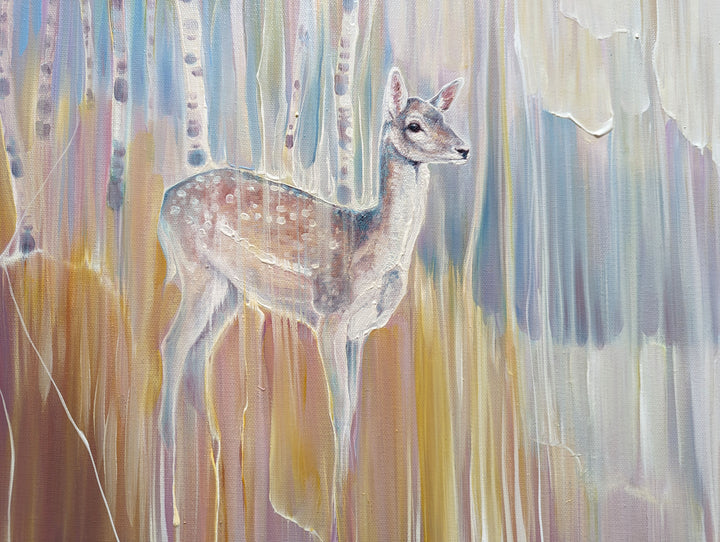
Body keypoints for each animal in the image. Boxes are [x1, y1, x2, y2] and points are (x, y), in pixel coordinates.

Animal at [157, 67, 469, 539]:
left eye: (443, 116)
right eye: (414, 124)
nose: (464, 148)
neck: (370, 247)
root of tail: (162, 206)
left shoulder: (359, 334)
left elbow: (353, 410)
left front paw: (354, 490)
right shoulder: (330, 317)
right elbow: (338, 409)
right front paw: (337, 511)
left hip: (229, 291)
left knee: (197, 353)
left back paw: (216, 456)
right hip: (197, 273)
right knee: (172, 346)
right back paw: (172, 488)